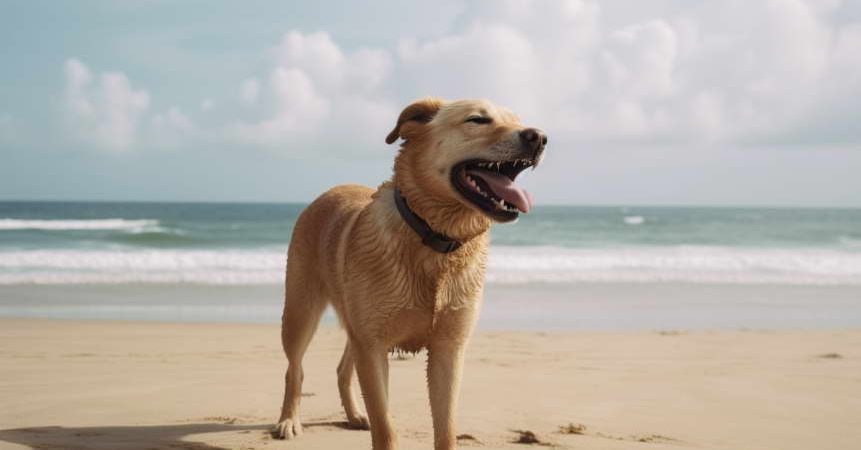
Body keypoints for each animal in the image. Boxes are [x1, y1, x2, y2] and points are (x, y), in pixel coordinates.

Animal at [274, 98, 544, 450]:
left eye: (518, 120)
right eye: (477, 120)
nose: (539, 137)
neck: (433, 238)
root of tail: (330, 191)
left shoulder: (447, 349)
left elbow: (446, 429)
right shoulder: (373, 349)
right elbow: (385, 429)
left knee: (343, 368)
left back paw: (354, 414)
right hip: (301, 312)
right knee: (295, 369)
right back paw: (289, 420)